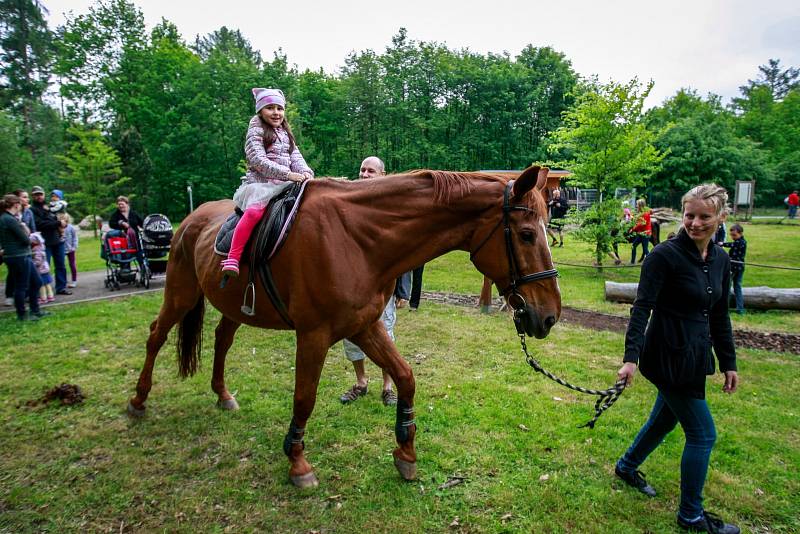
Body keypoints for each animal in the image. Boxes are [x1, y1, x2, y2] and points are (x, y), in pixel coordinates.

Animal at [128, 165, 560, 488]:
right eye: (526, 234)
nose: (550, 315)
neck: (358, 240)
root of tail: (191, 218)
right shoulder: (314, 335)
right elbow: (304, 398)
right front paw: (298, 462)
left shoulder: (364, 325)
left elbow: (405, 377)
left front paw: (406, 450)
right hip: (180, 293)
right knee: (156, 335)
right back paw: (138, 400)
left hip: (234, 307)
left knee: (220, 341)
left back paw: (222, 394)